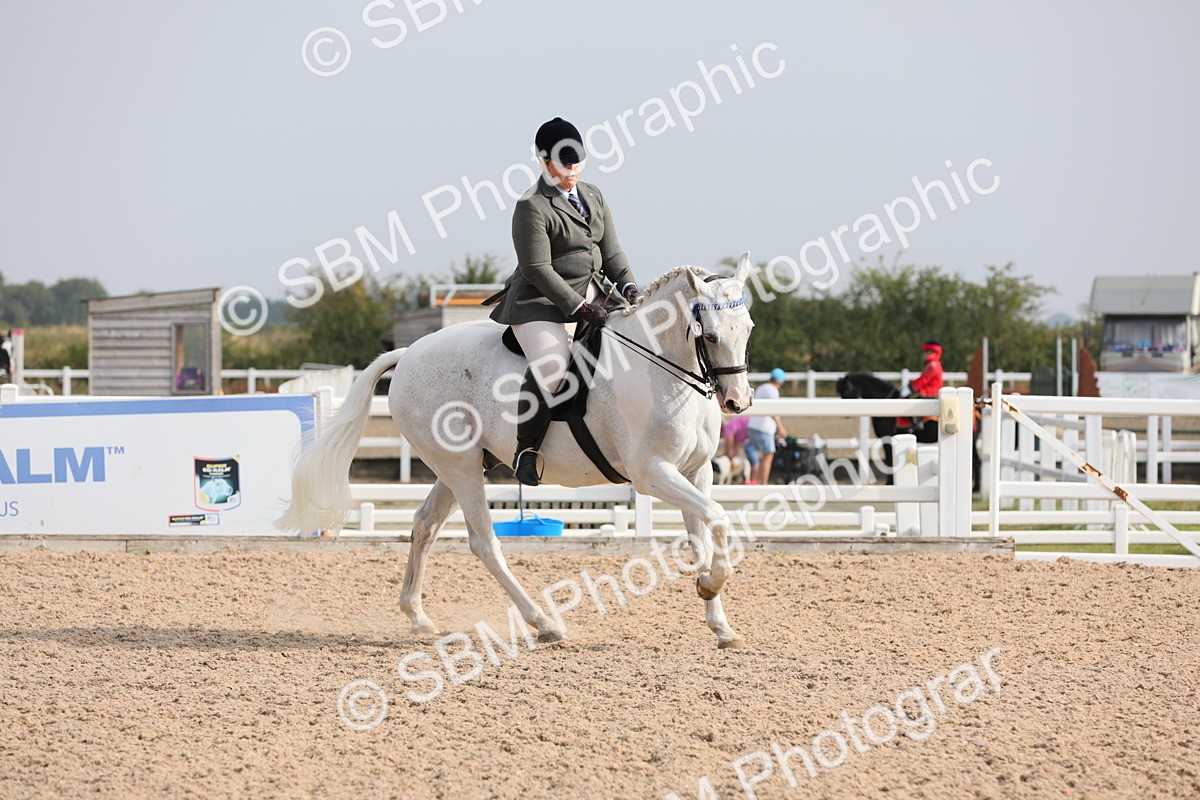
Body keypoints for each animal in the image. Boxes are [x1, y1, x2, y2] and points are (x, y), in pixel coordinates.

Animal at [278, 256, 758, 649]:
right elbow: (719, 519)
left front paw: (719, 619)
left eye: (748, 329)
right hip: (461, 468)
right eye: (710, 334)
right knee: (484, 543)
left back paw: (417, 616)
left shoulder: (696, 473)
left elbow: (702, 534)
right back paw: (544, 623)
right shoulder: (652, 473)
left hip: (456, 467)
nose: (737, 402)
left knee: (424, 525)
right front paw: (710, 584)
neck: (659, 369)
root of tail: (410, 352)